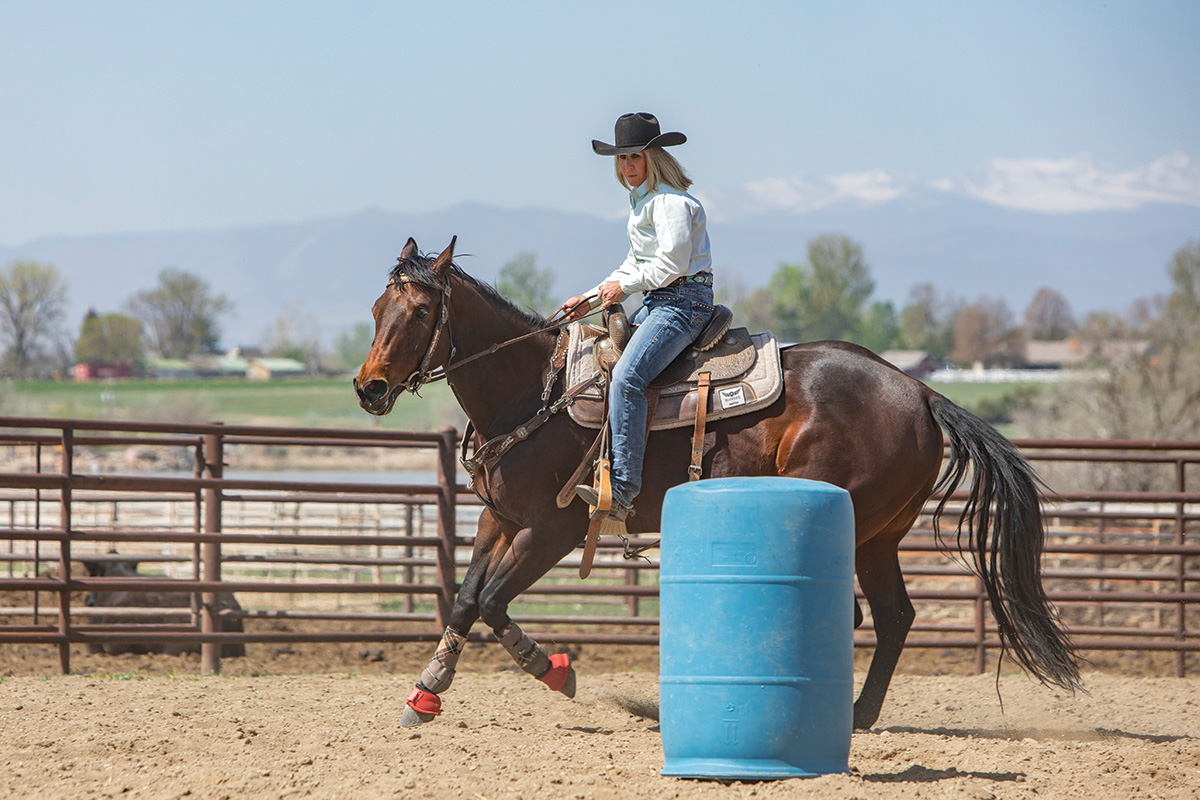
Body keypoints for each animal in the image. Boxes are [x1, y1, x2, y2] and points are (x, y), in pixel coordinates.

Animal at [350, 237, 1084, 734]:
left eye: (421, 313)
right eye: (378, 306)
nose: (368, 388)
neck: (535, 391)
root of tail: (921, 392)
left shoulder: (551, 529)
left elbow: (495, 603)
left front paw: (557, 672)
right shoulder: (497, 520)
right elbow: (466, 600)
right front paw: (426, 693)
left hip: (839, 520)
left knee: (854, 613)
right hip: (878, 537)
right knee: (894, 616)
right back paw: (855, 714)